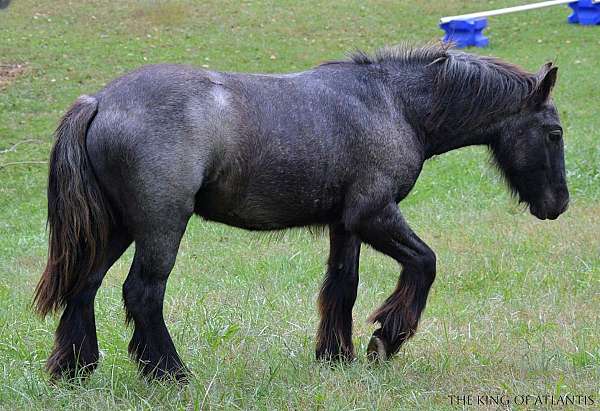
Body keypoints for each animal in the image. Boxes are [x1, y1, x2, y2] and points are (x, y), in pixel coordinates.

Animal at [32, 43, 568, 382]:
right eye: (555, 133)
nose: (559, 204)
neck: (392, 103)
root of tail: (98, 101)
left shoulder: (346, 224)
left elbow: (343, 286)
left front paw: (336, 357)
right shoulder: (375, 214)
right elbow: (424, 263)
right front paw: (385, 340)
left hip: (117, 229)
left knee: (85, 285)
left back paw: (75, 369)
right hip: (161, 227)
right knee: (142, 293)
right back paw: (170, 374)